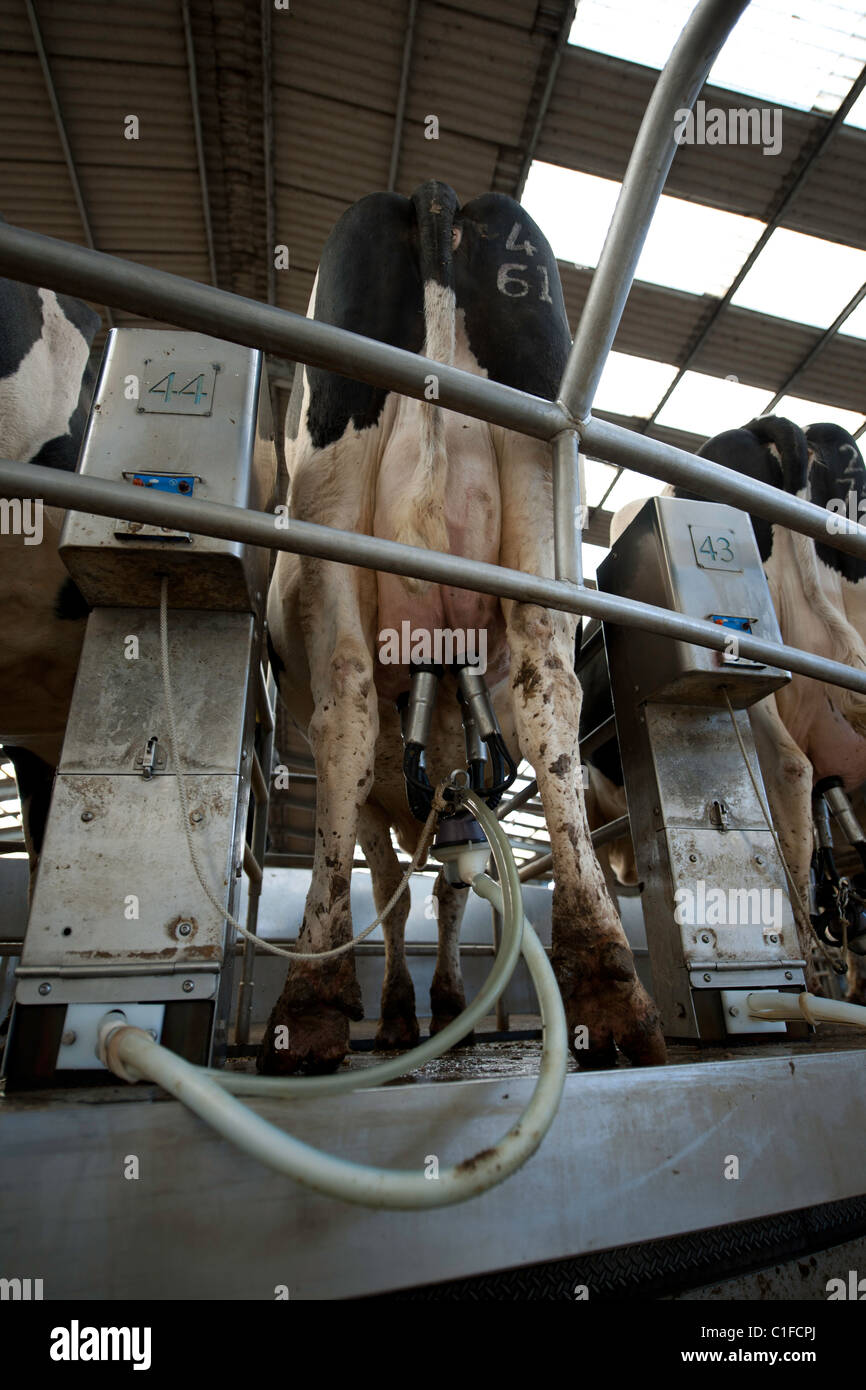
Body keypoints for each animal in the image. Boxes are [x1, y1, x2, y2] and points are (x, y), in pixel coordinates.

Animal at [261, 182, 667, 1073]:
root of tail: (433, 193)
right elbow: (434, 885)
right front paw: (430, 1006)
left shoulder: (409, 803)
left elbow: (404, 886)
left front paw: (413, 1008)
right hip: (539, 479)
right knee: (549, 687)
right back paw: (610, 985)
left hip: (331, 490)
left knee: (346, 705)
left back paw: (310, 1001)